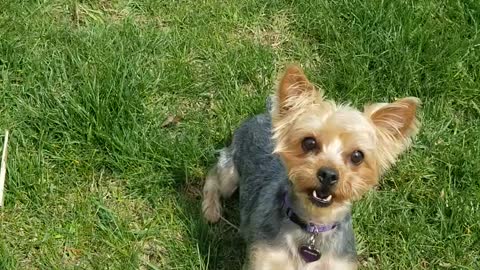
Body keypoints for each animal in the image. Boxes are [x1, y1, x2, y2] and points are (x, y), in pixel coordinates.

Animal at [202, 65, 420, 270]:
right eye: (309, 142)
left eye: (357, 156)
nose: (328, 174)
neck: (313, 227)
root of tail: (265, 115)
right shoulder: (265, 258)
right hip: (230, 174)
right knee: (214, 174)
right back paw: (210, 209)